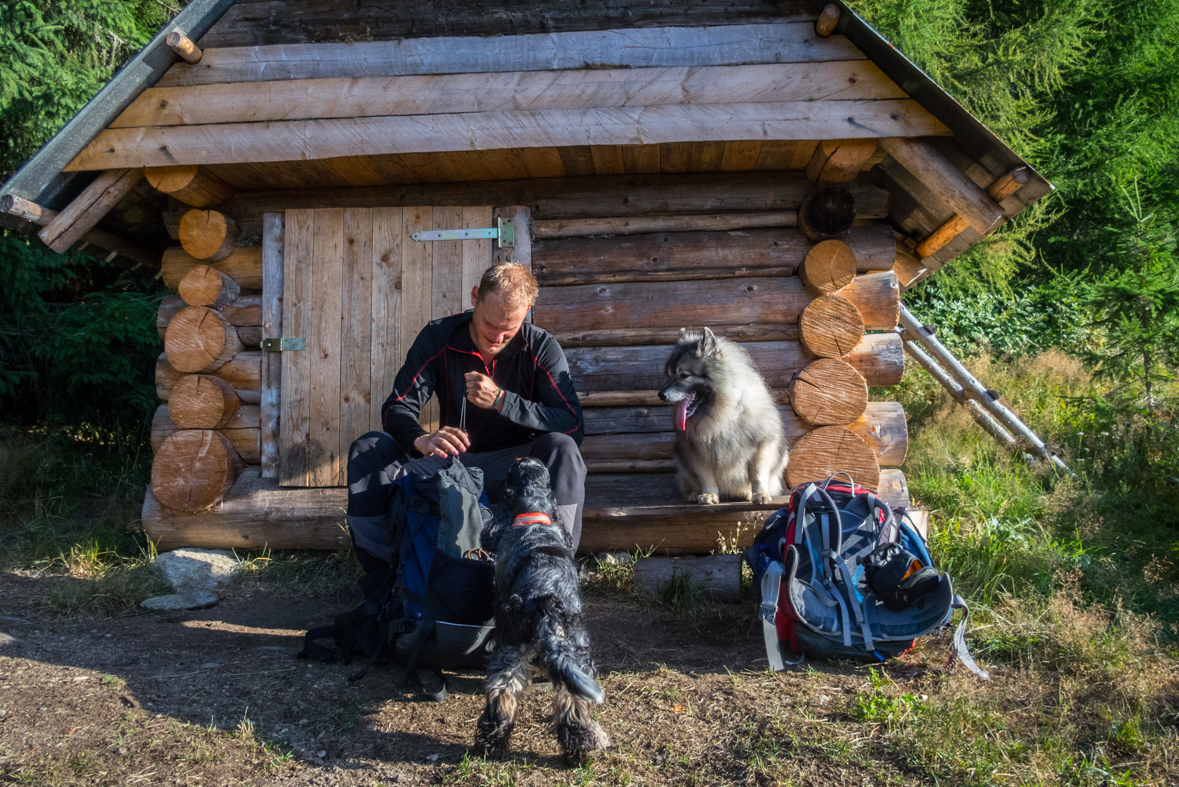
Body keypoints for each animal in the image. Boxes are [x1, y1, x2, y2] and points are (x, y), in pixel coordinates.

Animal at [476, 457, 613, 763]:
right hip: (576, 655)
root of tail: (546, 604)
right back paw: (579, 751)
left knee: (501, 694)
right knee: (571, 703)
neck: (534, 516)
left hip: (510, 648)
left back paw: (491, 742)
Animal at [660, 325, 787, 504]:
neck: (724, 412)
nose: (661, 395)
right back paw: (694, 495)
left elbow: (758, 475)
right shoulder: (698, 451)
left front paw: (760, 494)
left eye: (684, 375)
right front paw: (708, 495)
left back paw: (746, 494)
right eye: (670, 375)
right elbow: (707, 477)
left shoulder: (761, 445)